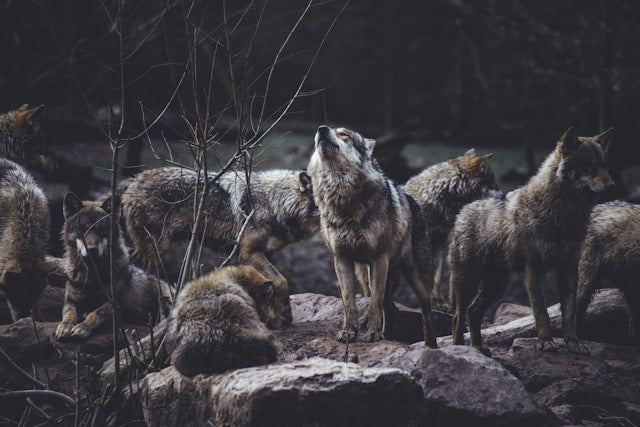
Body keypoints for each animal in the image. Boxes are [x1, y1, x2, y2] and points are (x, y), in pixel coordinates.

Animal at [55, 192, 173, 341]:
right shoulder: (71, 302)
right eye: (83, 229)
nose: (92, 249)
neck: (93, 275)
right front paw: (64, 327)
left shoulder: (114, 304)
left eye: (101, 230)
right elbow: (68, 315)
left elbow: (95, 313)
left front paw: (82, 328)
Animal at [120, 167, 320, 326]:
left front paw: (277, 316)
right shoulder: (248, 251)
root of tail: (133, 179)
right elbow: (281, 280)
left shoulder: (265, 254)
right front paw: (285, 314)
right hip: (155, 249)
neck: (275, 202)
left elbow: (269, 285)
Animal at [307, 125, 436, 347]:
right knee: (391, 309)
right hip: (370, 274)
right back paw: (389, 337)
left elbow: (374, 304)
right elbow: (349, 303)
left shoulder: (378, 258)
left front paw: (373, 335)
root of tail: (414, 202)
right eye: (323, 131)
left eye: (344, 134)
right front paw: (348, 333)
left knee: (426, 313)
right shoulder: (341, 259)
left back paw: (430, 346)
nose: (322, 129)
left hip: (415, 279)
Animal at [403, 149, 499, 305]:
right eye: (492, 183)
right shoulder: (426, 240)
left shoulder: (442, 241)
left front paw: (438, 300)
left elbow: (438, 275)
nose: (504, 194)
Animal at [449, 127, 614, 353]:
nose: (612, 185)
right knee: (458, 316)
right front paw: (546, 342)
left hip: (497, 286)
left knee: (473, 312)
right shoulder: (534, 268)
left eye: (604, 165)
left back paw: (479, 348)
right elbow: (541, 311)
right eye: (589, 166)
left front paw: (573, 343)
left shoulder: (568, 268)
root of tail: (463, 210)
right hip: (469, 282)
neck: (563, 215)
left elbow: (569, 314)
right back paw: (461, 349)